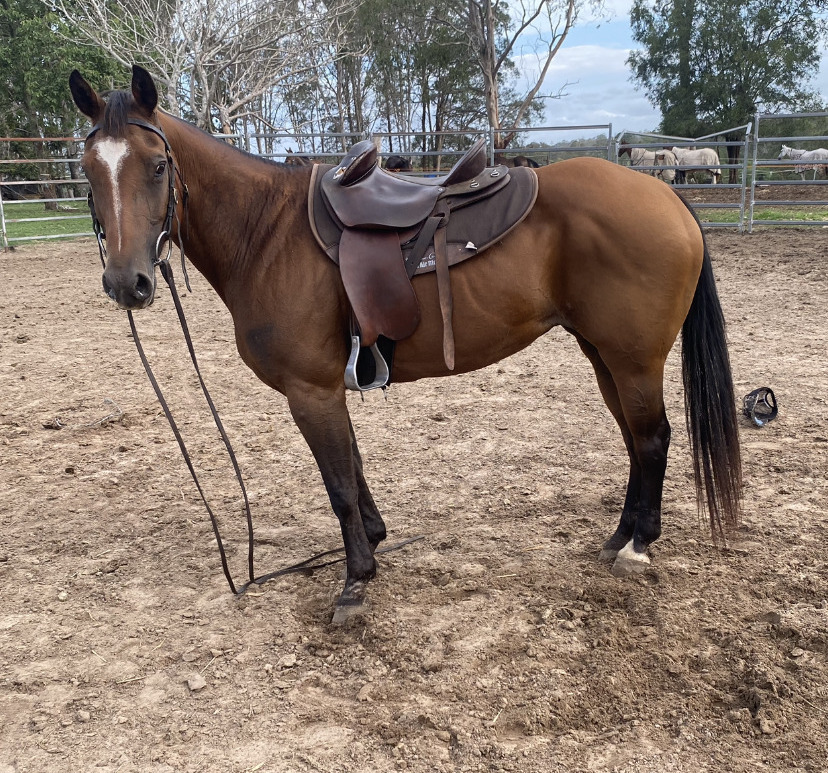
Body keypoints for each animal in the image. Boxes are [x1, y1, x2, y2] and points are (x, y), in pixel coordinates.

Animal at [70, 65, 742, 623]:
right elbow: (353, 467)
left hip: (633, 358)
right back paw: (619, 538)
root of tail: (666, 194)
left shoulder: (310, 390)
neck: (266, 234)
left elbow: (338, 484)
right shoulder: (329, 389)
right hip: (603, 354)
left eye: (158, 166)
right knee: (635, 442)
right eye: (89, 172)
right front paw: (374, 541)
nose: (127, 283)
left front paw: (354, 582)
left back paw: (637, 547)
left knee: (652, 440)